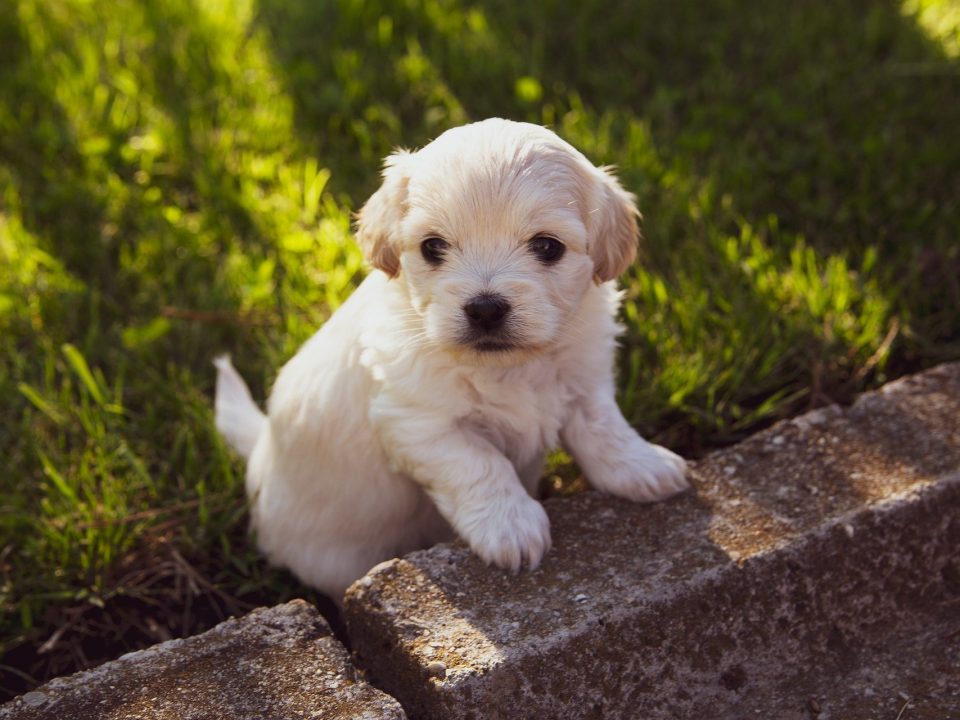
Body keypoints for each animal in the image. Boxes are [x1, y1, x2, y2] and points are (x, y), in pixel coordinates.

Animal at [215, 119, 688, 600]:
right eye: (433, 247)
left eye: (547, 247)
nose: (485, 308)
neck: (509, 367)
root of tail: (260, 455)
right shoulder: (419, 423)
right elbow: (480, 463)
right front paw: (511, 526)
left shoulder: (585, 379)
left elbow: (603, 428)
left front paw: (642, 466)